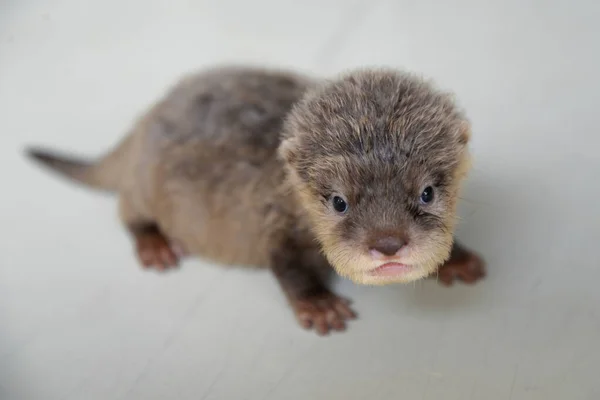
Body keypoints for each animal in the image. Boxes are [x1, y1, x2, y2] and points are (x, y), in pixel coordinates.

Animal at [29, 65, 488, 334]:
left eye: (427, 192)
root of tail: (142, 124)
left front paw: (458, 259)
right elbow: (285, 265)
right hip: (144, 183)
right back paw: (155, 244)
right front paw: (319, 305)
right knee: (126, 210)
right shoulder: (272, 218)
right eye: (338, 202)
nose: (388, 244)